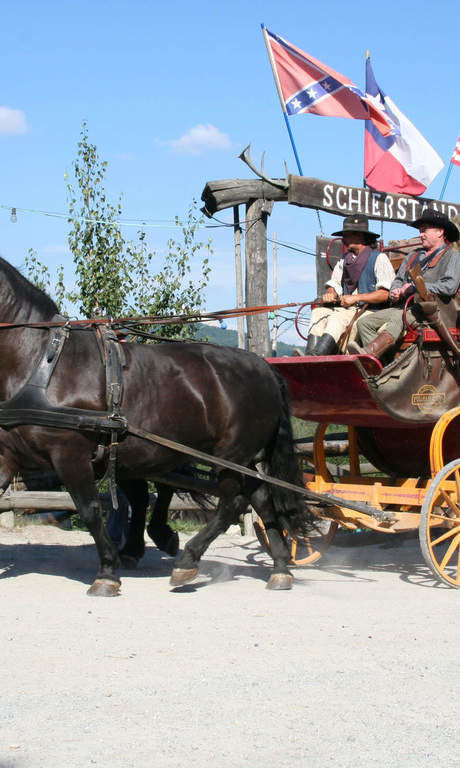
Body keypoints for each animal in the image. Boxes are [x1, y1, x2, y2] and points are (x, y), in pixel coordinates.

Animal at [0, 256, 308, 592]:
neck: (41, 362)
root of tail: (265, 368)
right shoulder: (7, 454)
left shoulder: (70, 455)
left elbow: (90, 510)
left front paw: (107, 571)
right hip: (240, 457)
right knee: (261, 498)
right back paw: (281, 566)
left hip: (230, 455)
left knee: (233, 503)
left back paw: (188, 561)